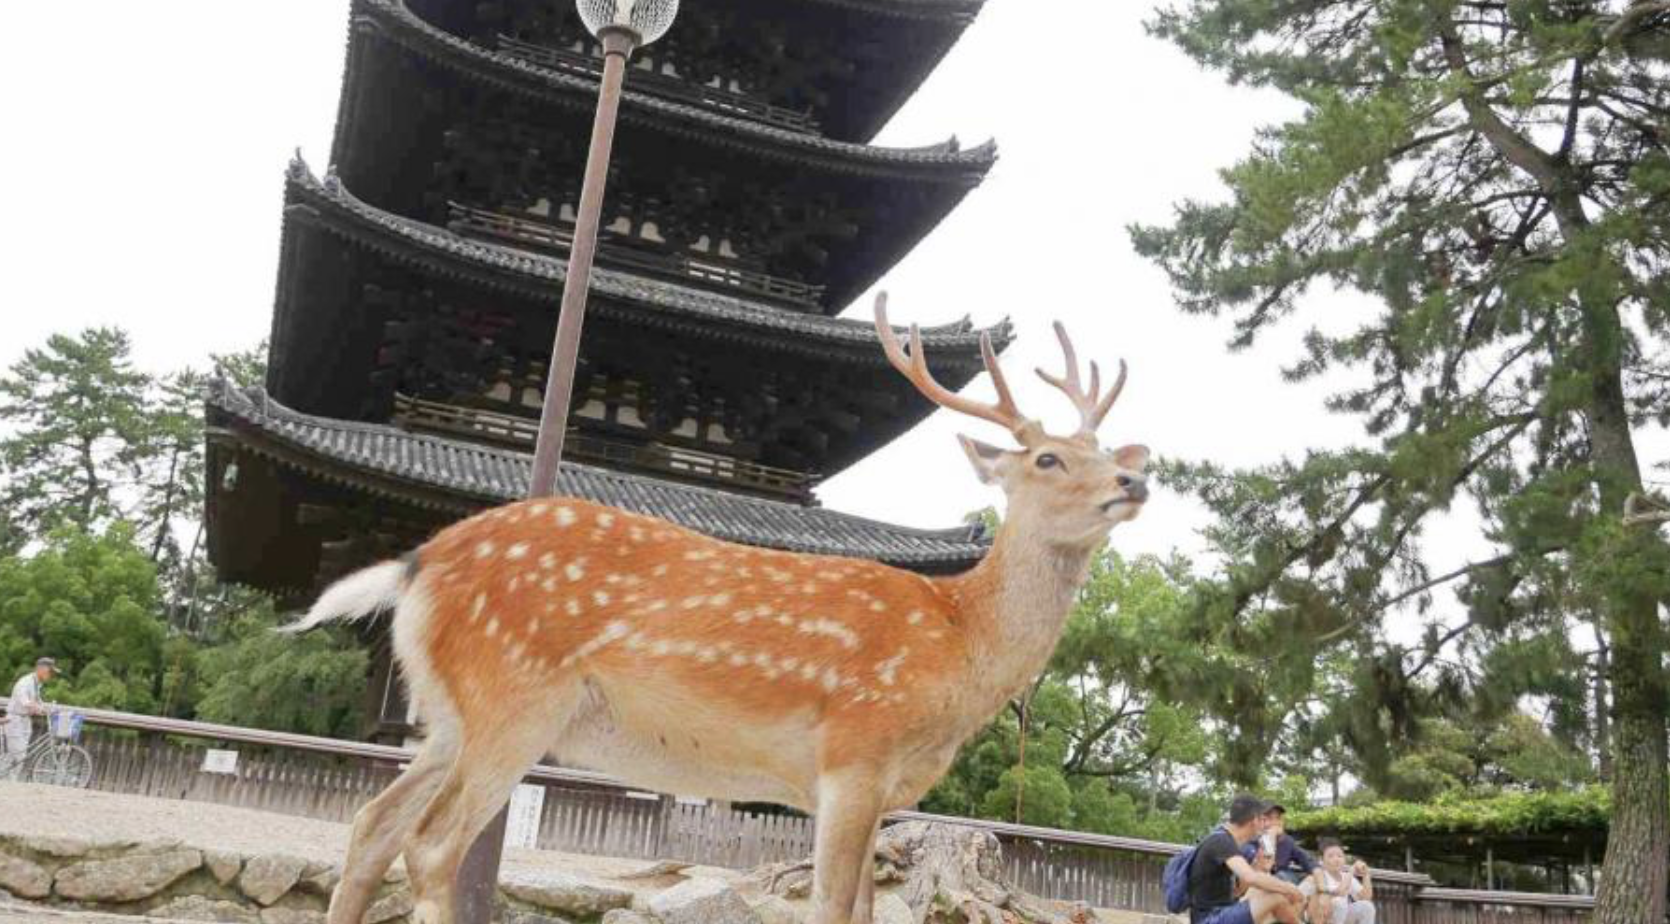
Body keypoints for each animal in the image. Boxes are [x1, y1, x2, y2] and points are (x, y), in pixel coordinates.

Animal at [293, 295, 1148, 922]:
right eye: (1047, 458)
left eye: (1107, 452)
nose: (1134, 480)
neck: (957, 644)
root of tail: (419, 563)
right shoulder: (854, 749)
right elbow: (832, 909)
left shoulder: (879, 789)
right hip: (515, 696)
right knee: (432, 847)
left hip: (448, 716)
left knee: (371, 827)